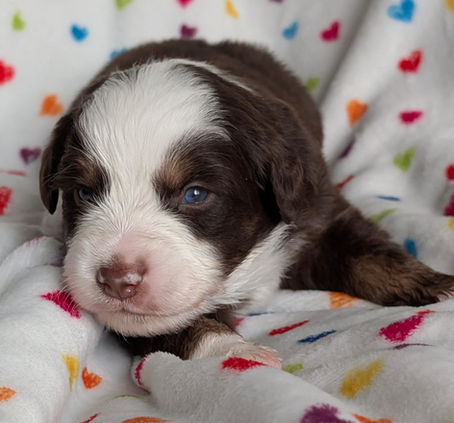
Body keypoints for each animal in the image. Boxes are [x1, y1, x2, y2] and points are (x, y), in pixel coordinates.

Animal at [40, 39, 454, 367]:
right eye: (84, 193)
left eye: (194, 194)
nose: (116, 279)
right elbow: (179, 325)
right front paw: (238, 353)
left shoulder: (317, 210)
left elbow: (368, 253)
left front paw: (438, 285)